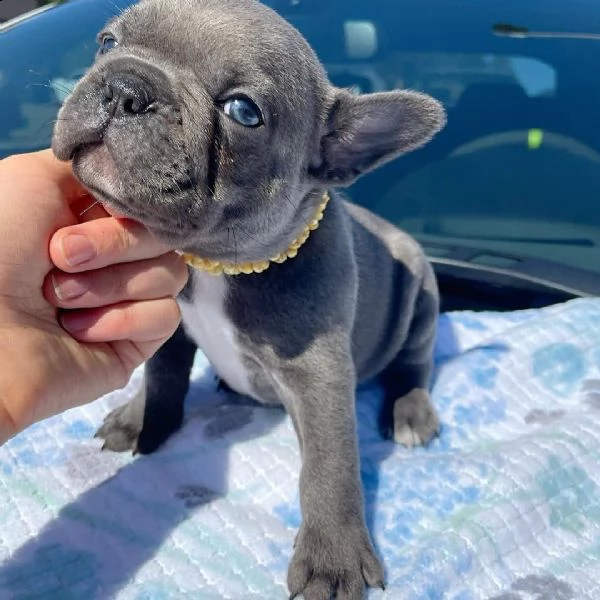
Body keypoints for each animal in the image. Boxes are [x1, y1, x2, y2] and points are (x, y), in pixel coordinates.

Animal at [51, 1, 446, 596]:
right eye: (106, 42)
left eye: (243, 111)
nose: (124, 88)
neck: (218, 264)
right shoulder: (172, 325)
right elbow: (162, 377)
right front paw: (143, 421)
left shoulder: (321, 373)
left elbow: (329, 465)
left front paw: (333, 558)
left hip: (420, 288)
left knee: (414, 361)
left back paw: (410, 410)